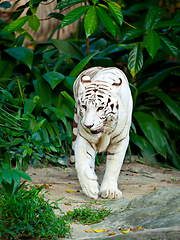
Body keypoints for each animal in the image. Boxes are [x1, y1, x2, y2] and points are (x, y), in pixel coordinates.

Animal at [71, 66, 132, 199]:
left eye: (100, 108)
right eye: (84, 107)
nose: (88, 125)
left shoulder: (120, 141)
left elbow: (114, 166)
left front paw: (110, 191)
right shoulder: (85, 138)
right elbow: (81, 162)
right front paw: (90, 187)